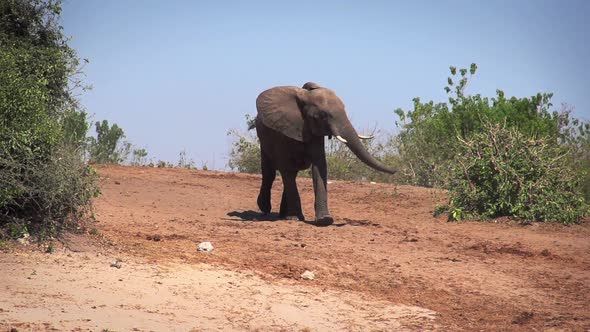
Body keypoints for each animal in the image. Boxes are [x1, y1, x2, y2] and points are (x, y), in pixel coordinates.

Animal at [254, 81, 398, 226]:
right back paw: (265, 209)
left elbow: (319, 166)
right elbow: (287, 168)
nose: (396, 170)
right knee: (270, 172)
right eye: (322, 116)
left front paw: (324, 220)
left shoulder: (314, 132)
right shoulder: (282, 132)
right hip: (263, 138)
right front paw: (296, 218)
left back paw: (283, 214)